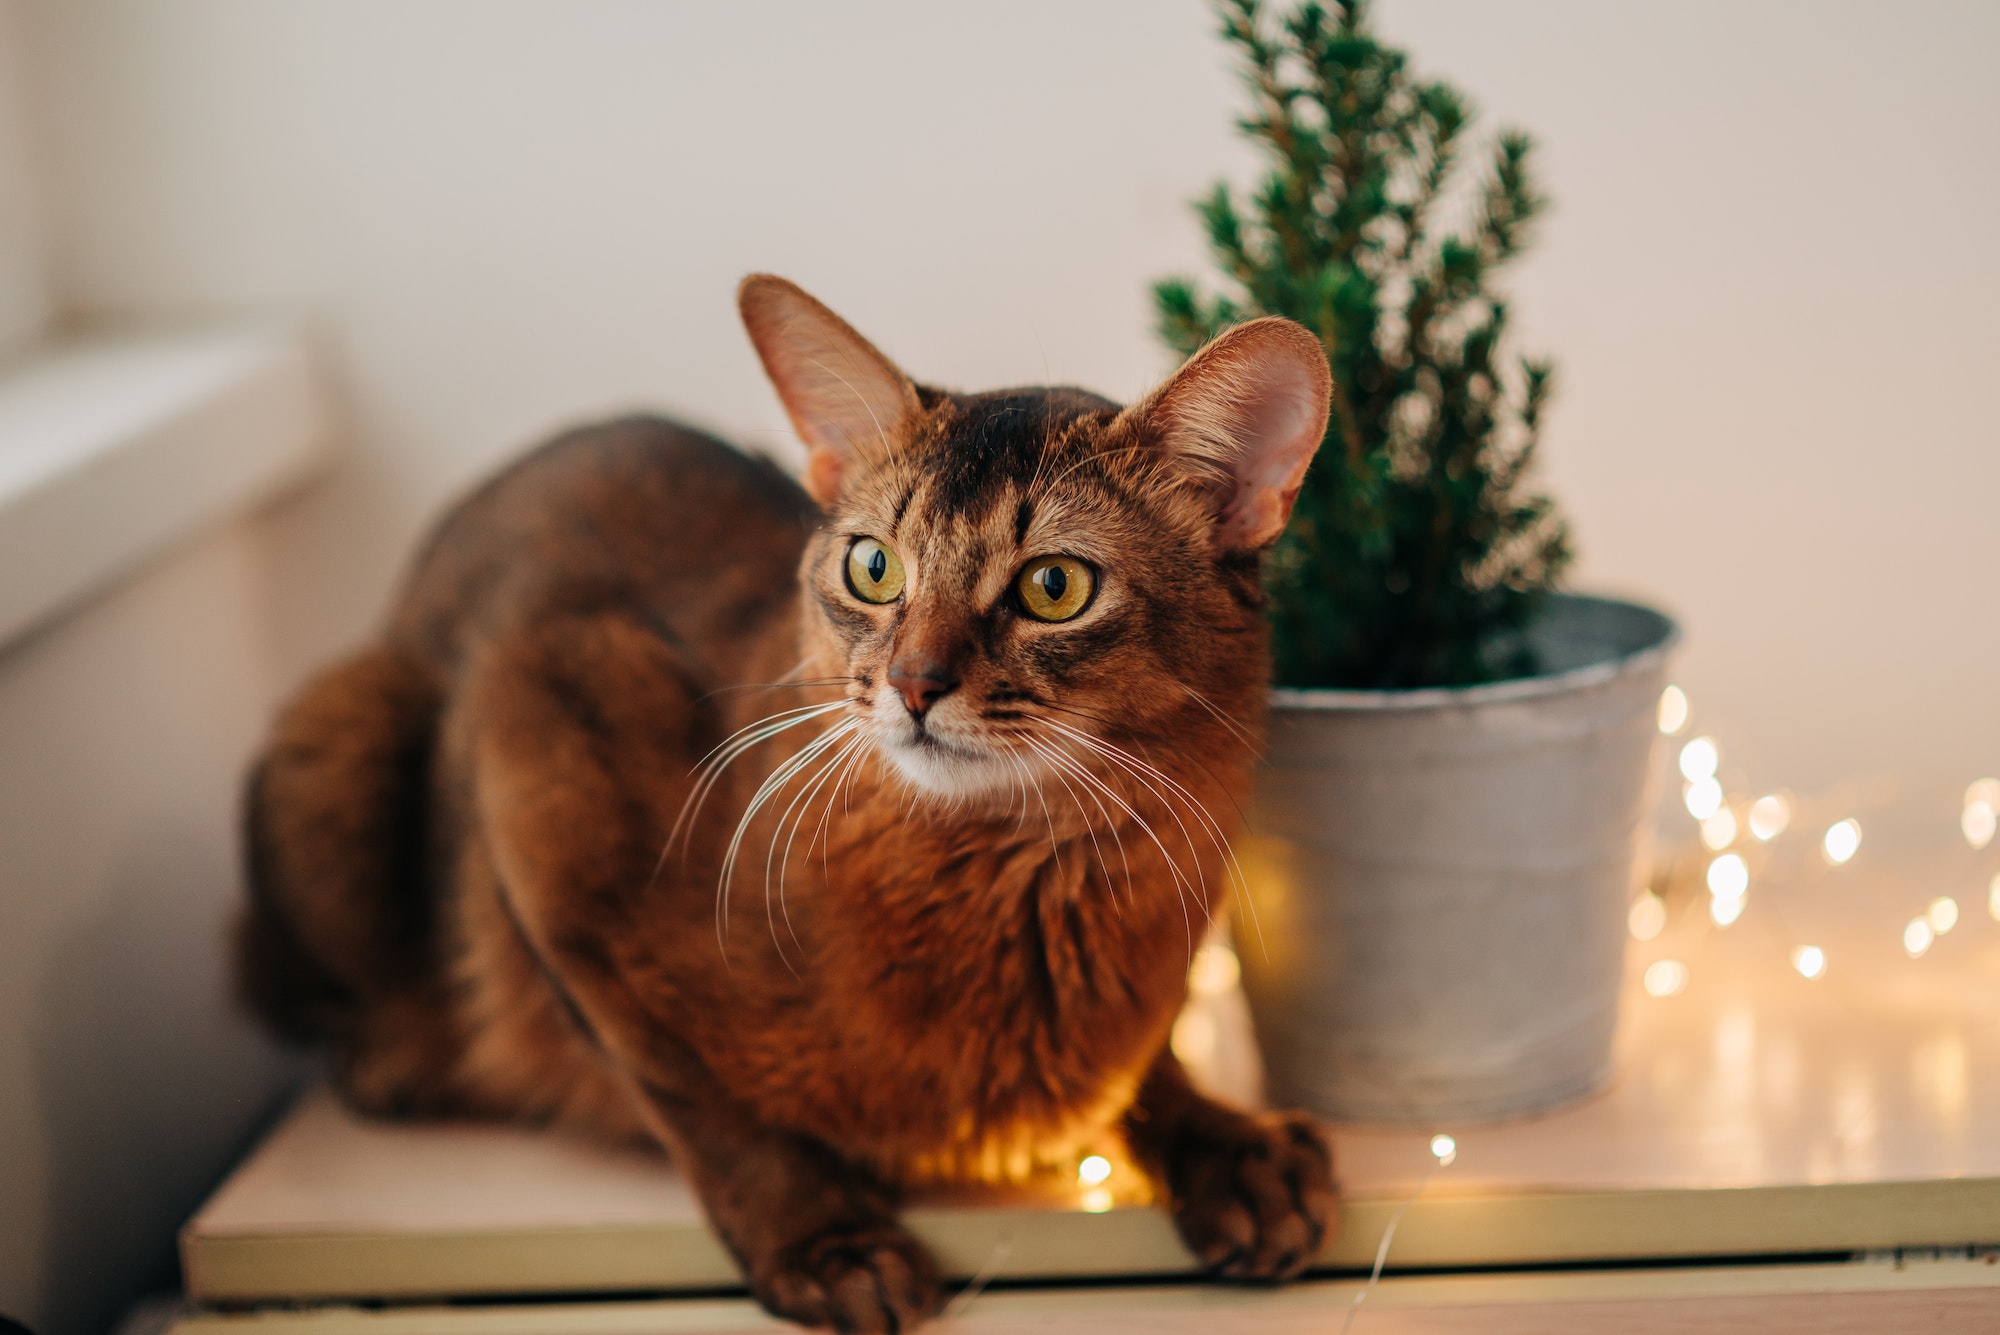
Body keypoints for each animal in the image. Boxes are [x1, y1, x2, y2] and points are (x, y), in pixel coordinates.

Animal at [234, 275, 1336, 1327]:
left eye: (1054, 587)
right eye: (873, 566)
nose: (914, 684)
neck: (1015, 874)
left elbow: (1146, 1057)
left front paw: (1226, 1141)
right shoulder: (536, 715)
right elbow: (704, 1102)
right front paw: (825, 1240)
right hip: (342, 732)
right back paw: (392, 1056)